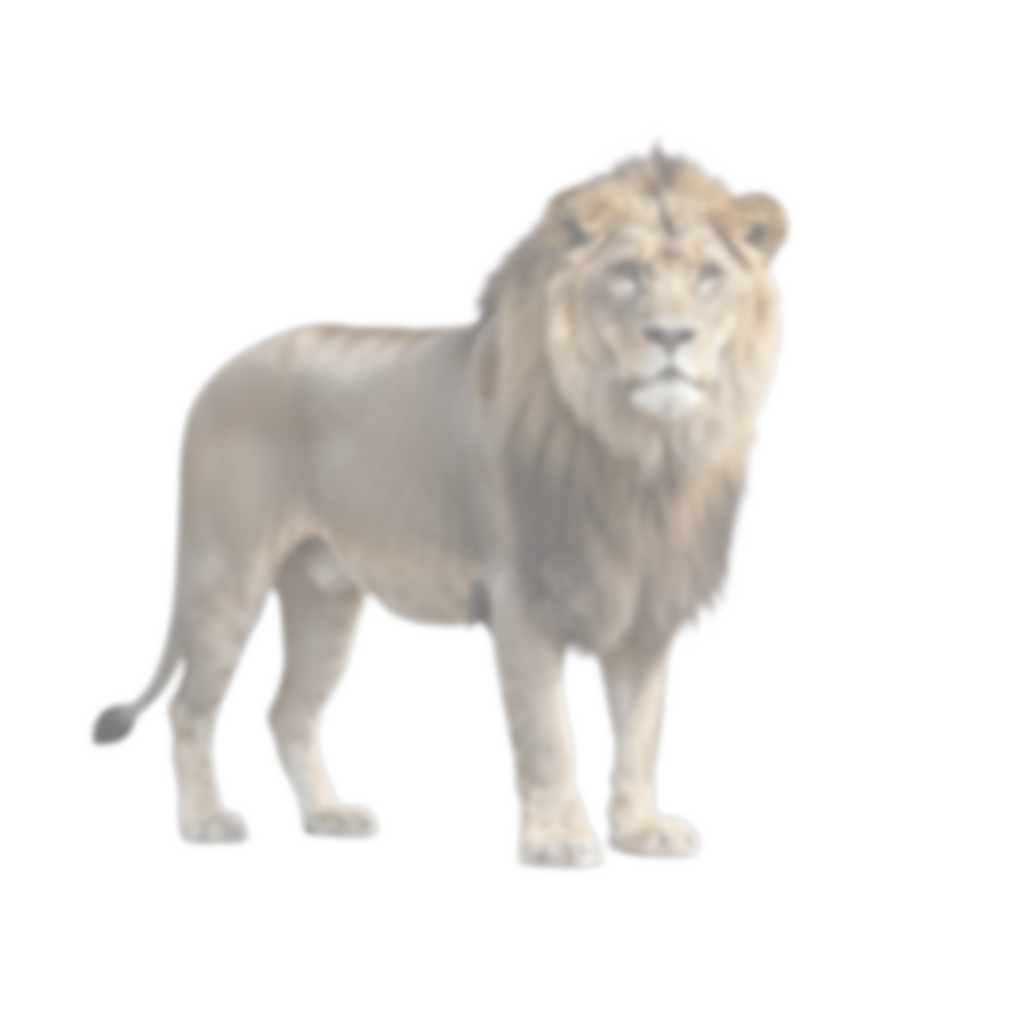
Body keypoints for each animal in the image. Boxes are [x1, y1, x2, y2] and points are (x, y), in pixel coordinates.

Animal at [91, 145, 790, 869]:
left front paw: (641, 830)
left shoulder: (645, 599)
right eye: (628, 273)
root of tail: (211, 378)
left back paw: (328, 816)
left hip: (324, 595)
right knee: (189, 709)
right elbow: (547, 734)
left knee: (289, 712)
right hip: (227, 573)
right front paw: (558, 840)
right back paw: (205, 822)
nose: (672, 334)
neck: (639, 450)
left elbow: (641, 731)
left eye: (708, 275)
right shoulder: (519, 593)